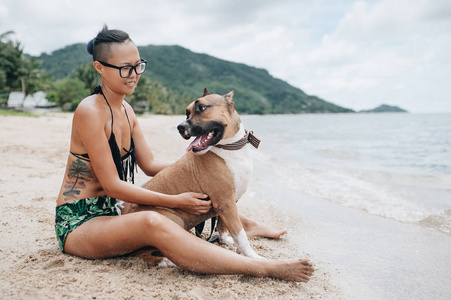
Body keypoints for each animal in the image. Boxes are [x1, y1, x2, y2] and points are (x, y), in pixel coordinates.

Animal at [128, 88, 262, 266]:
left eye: (201, 108)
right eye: (187, 112)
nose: (180, 127)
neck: (230, 147)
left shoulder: (228, 204)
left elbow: (223, 226)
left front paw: (225, 240)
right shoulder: (226, 203)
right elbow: (241, 234)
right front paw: (253, 256)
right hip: (169, 219)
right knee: (142, 251)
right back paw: (165, 261)